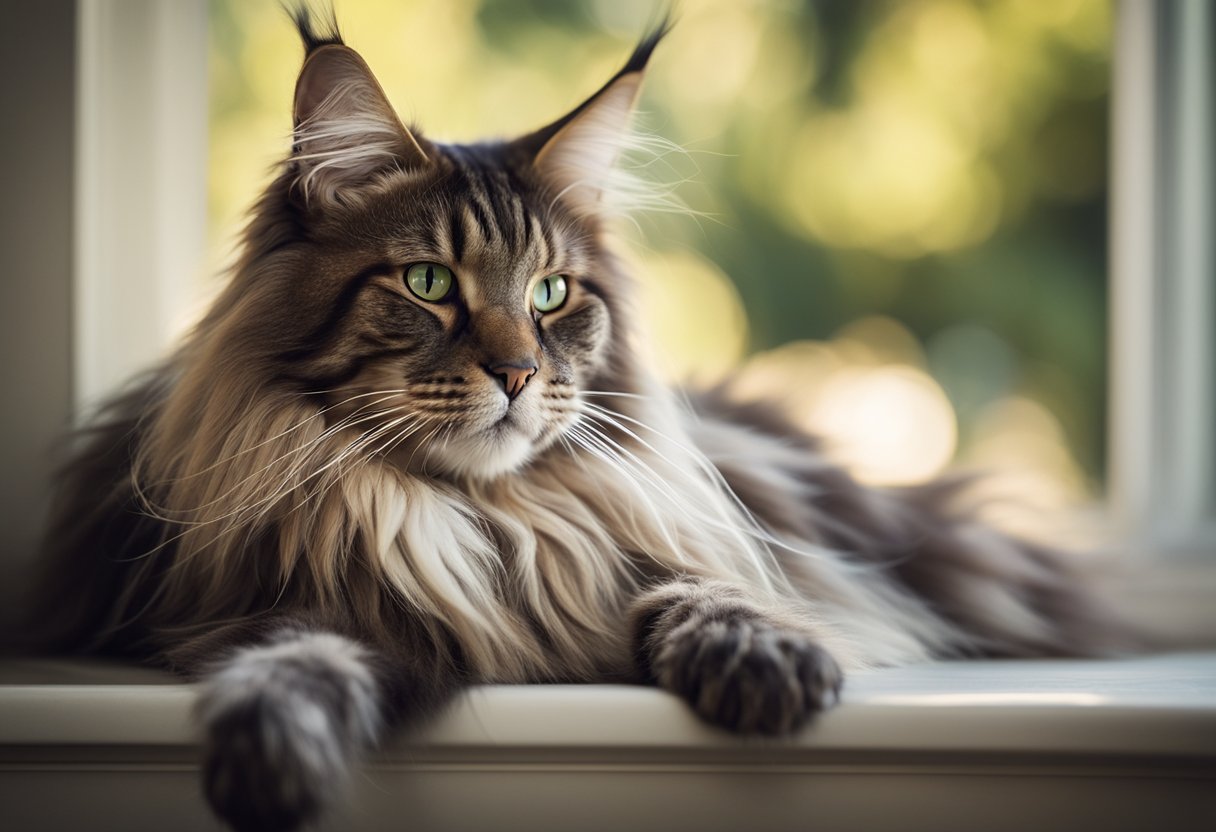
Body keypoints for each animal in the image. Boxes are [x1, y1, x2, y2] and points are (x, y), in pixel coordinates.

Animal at [21, 6, 1118, 832]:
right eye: (428, 283)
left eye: (551, 294)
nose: (515, 373)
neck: (484, 521)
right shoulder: (299, 604)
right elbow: (291, 660)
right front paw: (267, 756)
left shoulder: (633, 558)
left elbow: (699, 590)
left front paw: (761, 662)